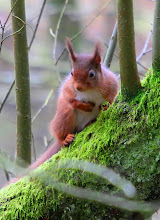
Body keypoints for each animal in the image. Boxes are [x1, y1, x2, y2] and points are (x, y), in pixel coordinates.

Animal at [4, 38, 118, 186]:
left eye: (92, 74)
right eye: (71, 73)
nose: (78, 87)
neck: (89, 92)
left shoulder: (111, 83)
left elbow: (113, 95)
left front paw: (105, 107)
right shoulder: (68, 88)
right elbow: (68, 99)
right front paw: (84, 106)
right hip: (65, 117)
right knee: (61, 129)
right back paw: (65, 138)